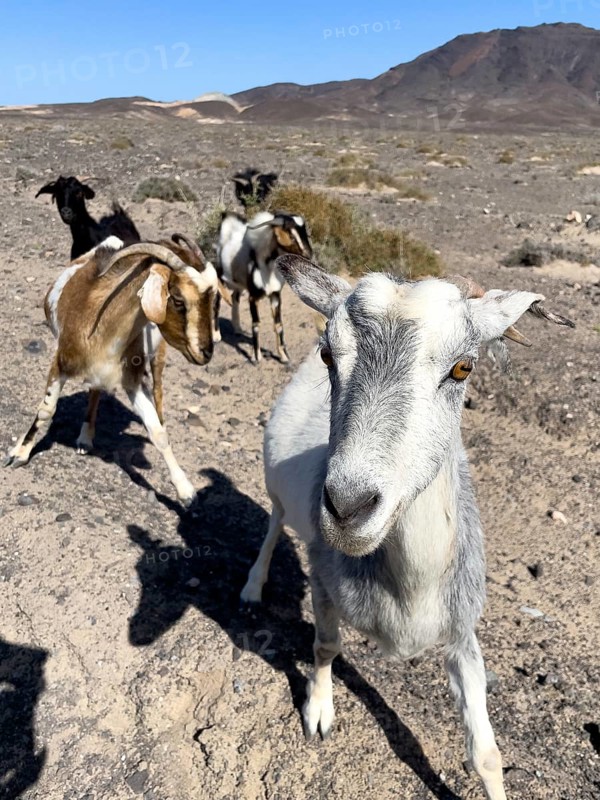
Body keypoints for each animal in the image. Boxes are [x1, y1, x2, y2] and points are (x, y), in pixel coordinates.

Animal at [4, 235, 219, 506]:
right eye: (178, 300)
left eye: (213, 299)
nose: (207, 352)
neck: (102, 327)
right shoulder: (61, 362)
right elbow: (46, 410)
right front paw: (20, 453)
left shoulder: (132, 381)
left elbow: (158, 433)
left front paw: (185, 490)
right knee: (94, 389)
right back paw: (85, 437)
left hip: (158, 355)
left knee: (157, 392)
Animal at [215, 210, 312, 363]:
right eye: (291, 235)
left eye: (304, 233)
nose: (309, 255)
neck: (267, 269)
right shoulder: (253, 297)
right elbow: (256, 324)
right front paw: (256, 357)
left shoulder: (275, 295)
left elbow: (278, 324)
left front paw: (284, 357)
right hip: (221, 275)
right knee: (217, 298)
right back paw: (217, 335)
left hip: (239, 284)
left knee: (235, 297)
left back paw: (238, 329)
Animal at [241, 256, 574, 800]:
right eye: (329, 354)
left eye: (463, 367)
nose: (348, 507)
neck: (411, 590)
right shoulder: (323, 582)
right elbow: (326, 645)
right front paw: (318, 711)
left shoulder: (462, 631)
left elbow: (486, 754)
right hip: (276, 489)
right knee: (274, 523)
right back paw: (253, 586)